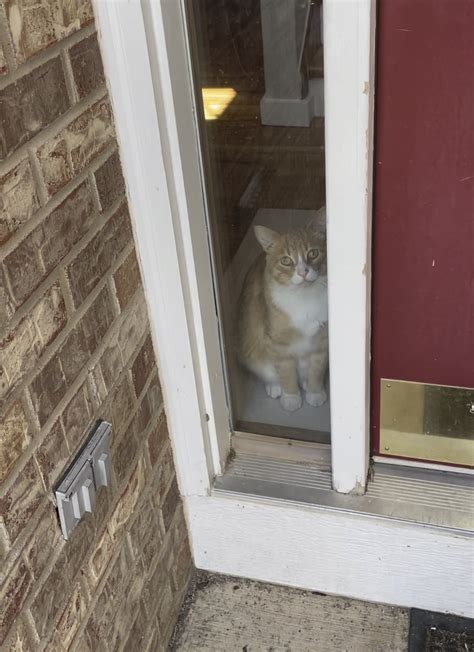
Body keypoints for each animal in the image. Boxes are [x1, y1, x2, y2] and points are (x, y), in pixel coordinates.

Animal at [239, 222, 328, 410]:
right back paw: (275, 386)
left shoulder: (322, 341)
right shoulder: (278, 344)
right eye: (286, 260)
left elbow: (317, 370)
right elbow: (287, 373)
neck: (304, 298)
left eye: (313, 253)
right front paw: (291, 397)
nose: (302, 272)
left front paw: (315, 392)